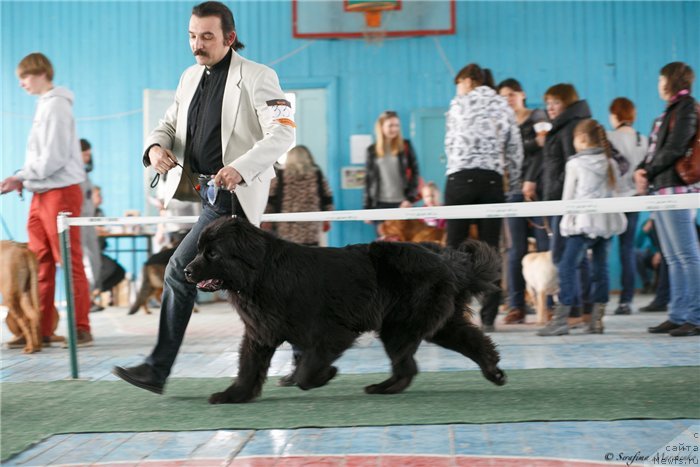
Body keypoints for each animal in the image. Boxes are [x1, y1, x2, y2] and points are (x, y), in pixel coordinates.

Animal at [183, 218, 506, 404]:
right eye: (199, 250)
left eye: (212, 253)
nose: (186, 270)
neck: (260, 273)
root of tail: (447, 262)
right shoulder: (260, 332)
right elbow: (248, 367)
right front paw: (233, 395)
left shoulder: (331, 332)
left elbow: (307, 370)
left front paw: (325, 374)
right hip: (435, 324)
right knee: (471, 342)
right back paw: (492, 371)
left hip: (399, 327)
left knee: (408, 366)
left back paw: (382, 388)